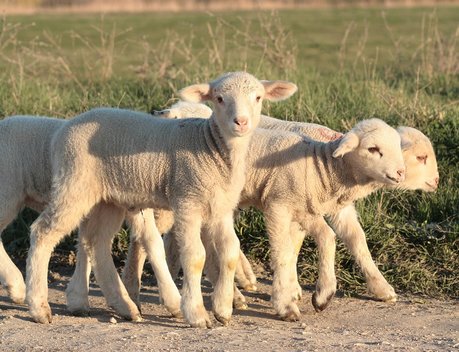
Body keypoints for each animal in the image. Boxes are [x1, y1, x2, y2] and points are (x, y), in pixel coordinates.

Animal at [24, 71, 298, 328]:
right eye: (219, 98)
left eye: (258, 97)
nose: (241, 122)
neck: (211, 147)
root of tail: (63, 129)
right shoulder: (187, 201)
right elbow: (195, 256)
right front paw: (197, 314)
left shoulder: (220, 208)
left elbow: (229, 252)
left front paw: (223, 309)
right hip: (74, 183)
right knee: (43, 232)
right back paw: (39, 307)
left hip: (108, 199)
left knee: (97, 243)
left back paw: (125, 306)